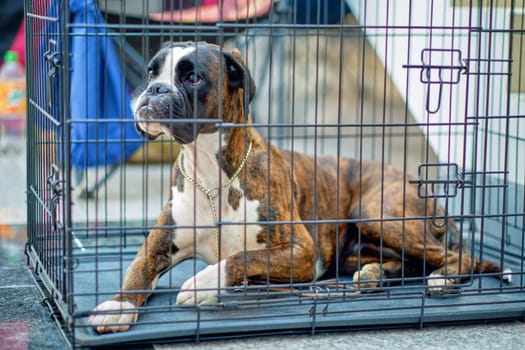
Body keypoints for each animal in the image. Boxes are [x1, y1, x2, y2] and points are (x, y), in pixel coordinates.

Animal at [88, 41, 510, 334]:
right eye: (151, 73)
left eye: (193, 77)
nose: (154, 91)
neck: (211, 174)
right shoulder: (157, 247)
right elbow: (136, 273)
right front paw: (118, 306)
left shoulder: (300, 252)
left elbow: (239, 259)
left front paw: (202, 284)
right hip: (355, 249)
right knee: (411, 263)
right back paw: (374, 275)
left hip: (376, 212)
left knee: (456, 256)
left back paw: (442, 277)